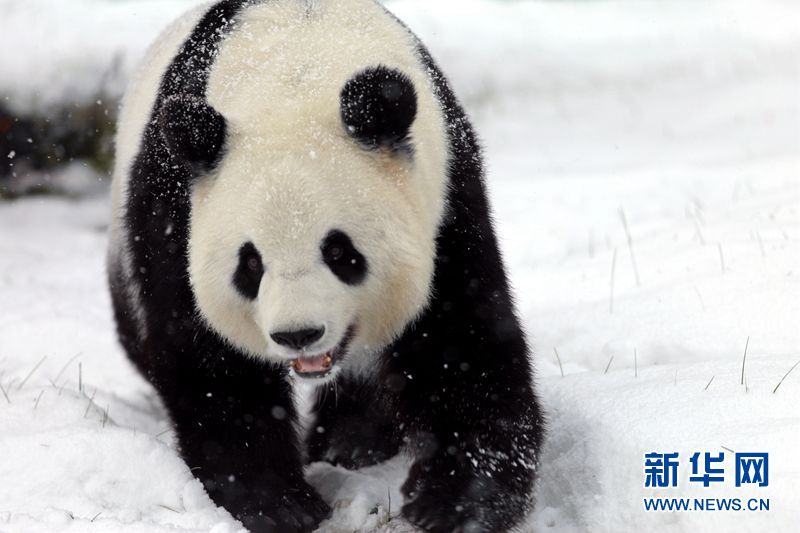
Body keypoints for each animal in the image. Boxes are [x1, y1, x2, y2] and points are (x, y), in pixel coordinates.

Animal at [106, 1, 544, 532]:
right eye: (250, 264)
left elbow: (459, 337)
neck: (297, 69)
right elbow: (211, 358)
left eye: (339, 252)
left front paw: (458, 502)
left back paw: (351, 439)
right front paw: (277, 504)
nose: (299, 334)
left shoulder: (446, 196)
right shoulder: (174, 207)